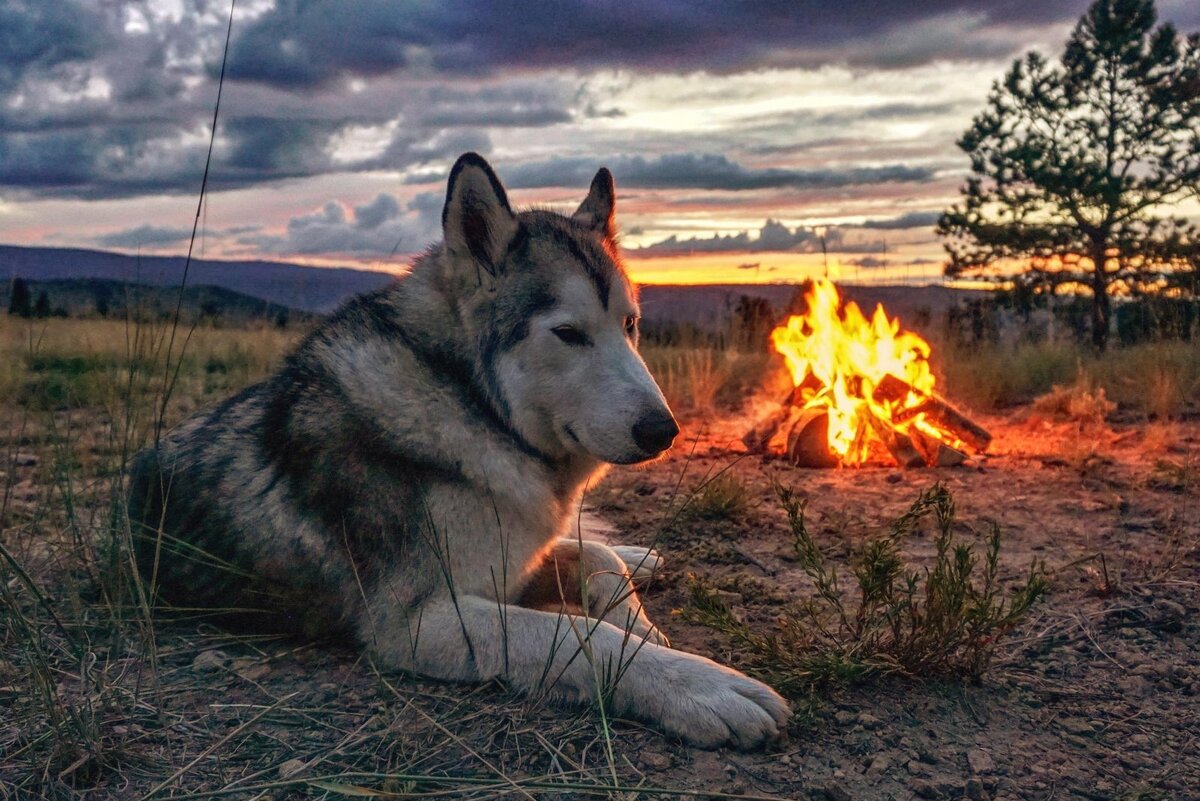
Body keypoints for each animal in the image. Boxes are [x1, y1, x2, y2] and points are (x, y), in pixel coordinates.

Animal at [129, 153, 787, 748]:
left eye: (630, 325)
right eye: (568, 333)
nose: (663, 432)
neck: (474, 406)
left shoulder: (513, 560)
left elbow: (598, 557)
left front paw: (639, 620)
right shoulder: (420, 621)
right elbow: (581, 638)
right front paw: (698, 686)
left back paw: (642, 553)